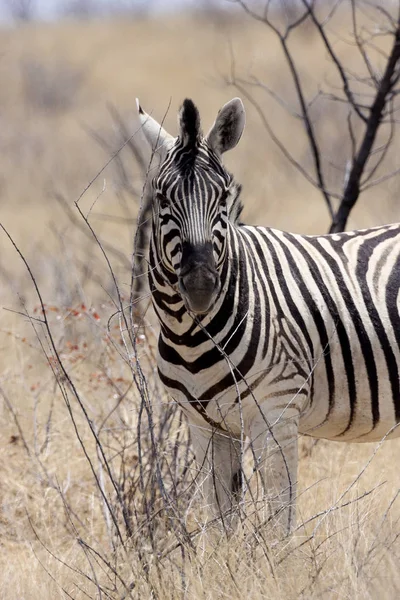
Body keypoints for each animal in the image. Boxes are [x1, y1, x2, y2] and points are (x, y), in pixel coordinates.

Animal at [137, 96, 400, 532]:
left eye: (224, 197)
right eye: (161, 200)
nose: (201, 285)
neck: (192, 335)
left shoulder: (278, 412)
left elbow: (279, 524)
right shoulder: (204, 425)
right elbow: (220, 524)